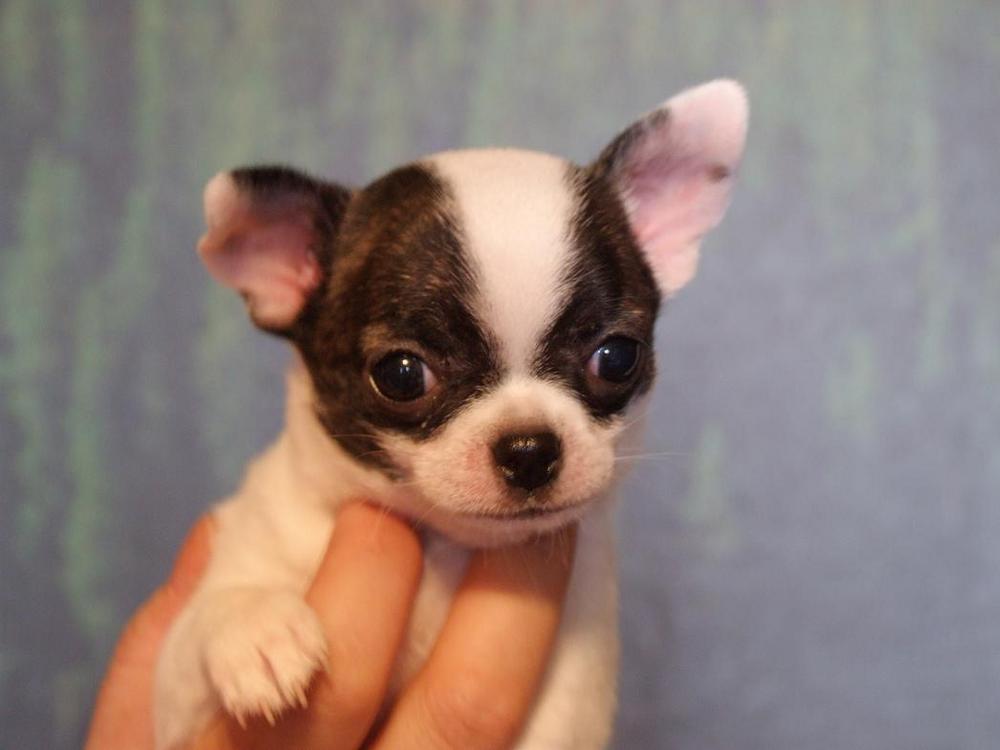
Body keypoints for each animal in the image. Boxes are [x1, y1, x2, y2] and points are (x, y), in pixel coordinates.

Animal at [154, 79, 748, 750]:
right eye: (402, 375)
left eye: (617, 357)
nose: (529, 449)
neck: (446, 553)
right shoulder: (177, 698)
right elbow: (205, 618)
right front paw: (254, 626)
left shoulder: (577, 680)